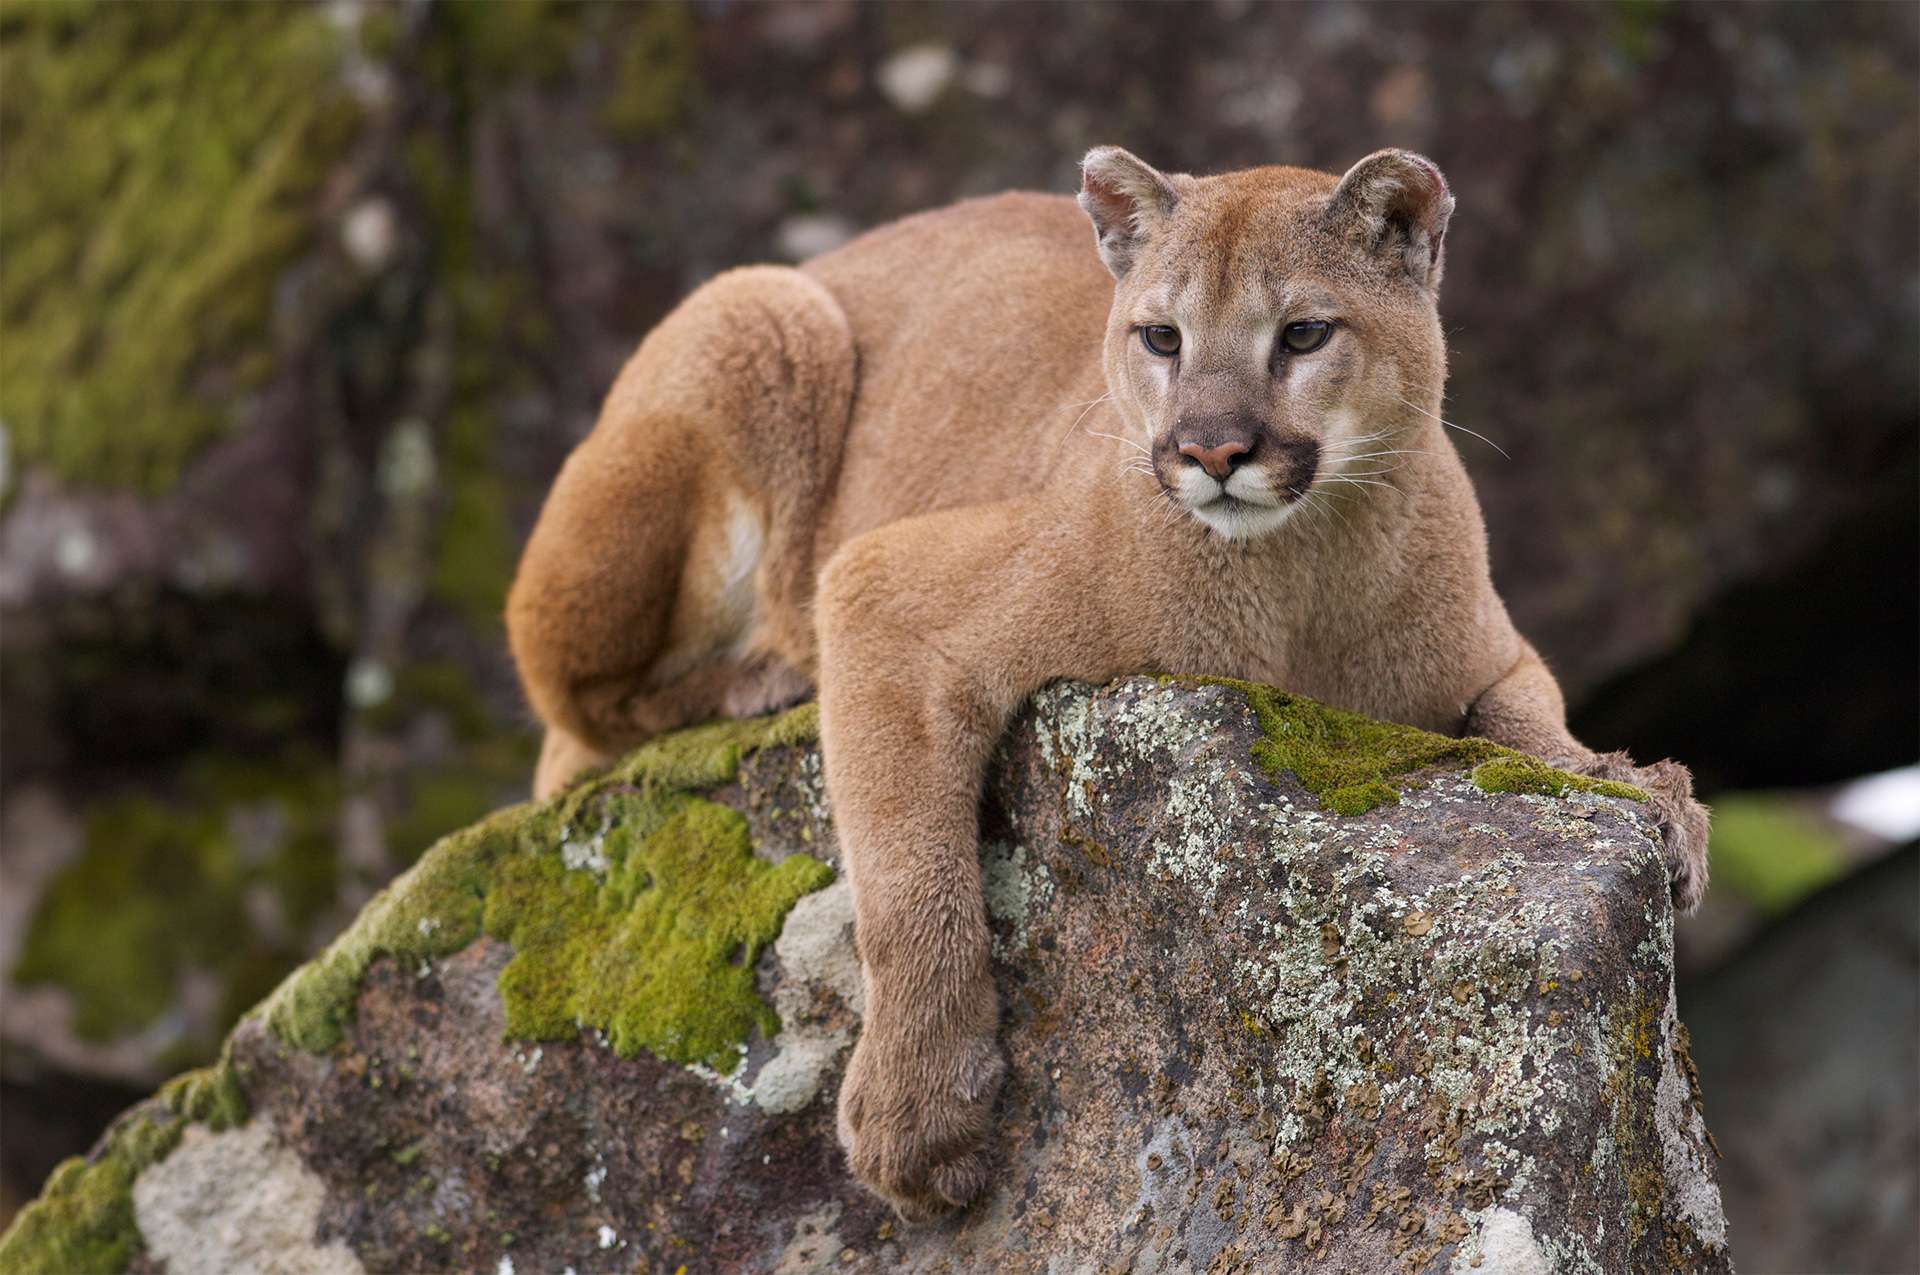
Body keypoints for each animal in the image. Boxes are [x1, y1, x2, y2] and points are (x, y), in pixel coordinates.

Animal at [506, 144, 1712, 1221]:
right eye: (1162, 337)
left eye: (1303, 333)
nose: (1212, 451)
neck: (1299, 581)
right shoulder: (882, 590)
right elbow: (909, 879)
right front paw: (919, 1119)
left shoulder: (1495, 652)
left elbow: (1530, 723)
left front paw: (1645, 794)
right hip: (761, 314)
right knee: (573, 717)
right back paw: (757, 677)